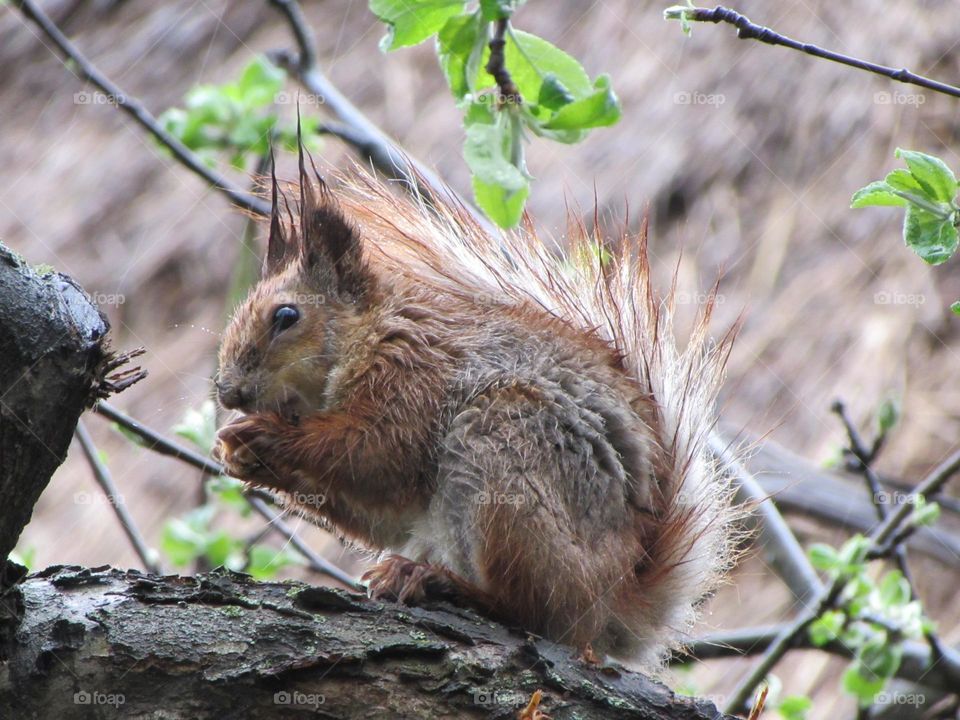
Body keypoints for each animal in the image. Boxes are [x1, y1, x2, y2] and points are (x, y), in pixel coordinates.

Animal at [214, 142, 736, 667]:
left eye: (286, 316)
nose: (226, 391)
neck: (376, 332)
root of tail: (616, 605)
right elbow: (376, 510)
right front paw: (238, 453)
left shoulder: (415, 378)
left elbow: (374, 454)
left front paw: (265, 436)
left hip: (500, 453)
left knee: (533, 612)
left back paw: (438, 583)